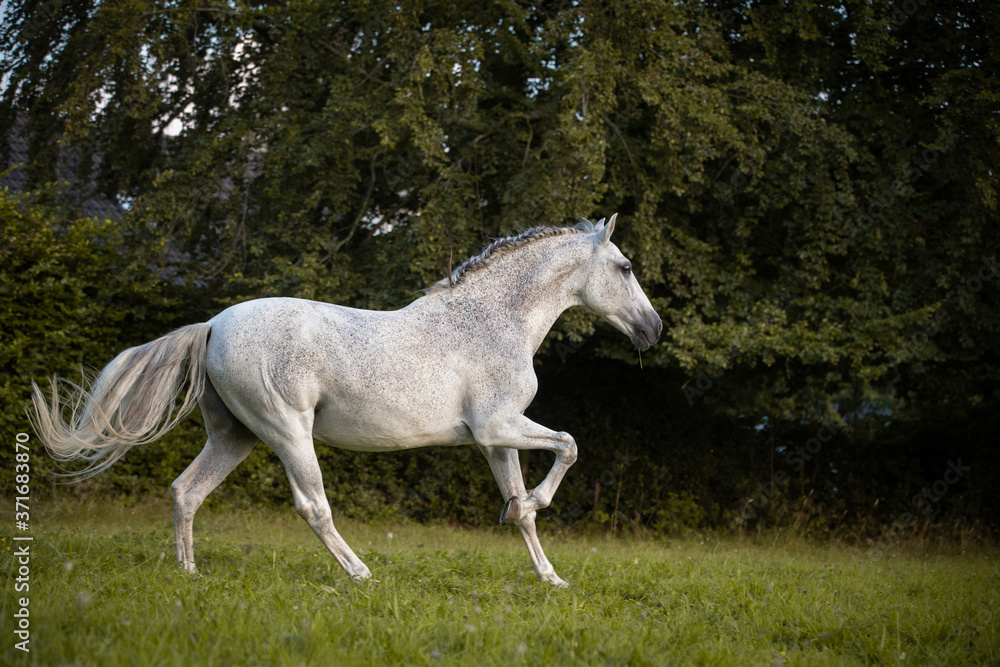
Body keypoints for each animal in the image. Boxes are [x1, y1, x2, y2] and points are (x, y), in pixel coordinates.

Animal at [31, 213, 660, 584]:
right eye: (626, 267)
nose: (652, 330)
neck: (489, 323)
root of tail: (212, 325)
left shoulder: (494, 440)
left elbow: (526, 506)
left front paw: (549, 574)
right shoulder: (498, 426)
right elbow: (569, 446)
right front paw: (535, 505)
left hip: (234, 437)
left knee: (187, 491)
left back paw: (190, 575)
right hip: (287, 433)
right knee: (313, 507)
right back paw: (359, 573)